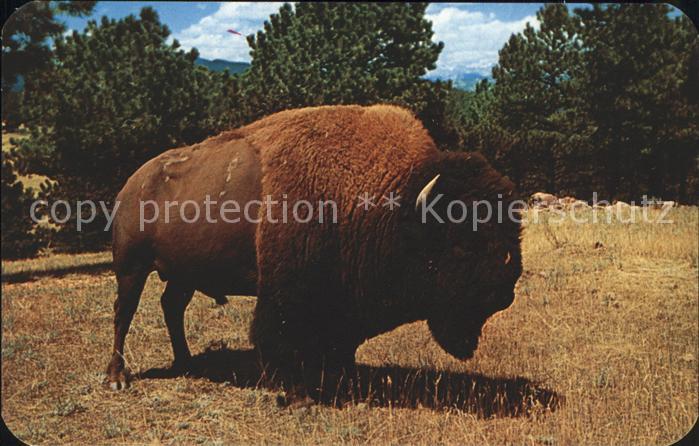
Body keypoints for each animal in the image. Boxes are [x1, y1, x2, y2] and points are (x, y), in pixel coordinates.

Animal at [105, 105, 523, 392]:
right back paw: (117, 377)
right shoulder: (285, 294)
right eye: (462, 243)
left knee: (171, 307)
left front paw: (343, 376)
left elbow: (340, 344)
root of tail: (132, 183)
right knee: (124, 312)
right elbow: (278, 336)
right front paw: (290, 384)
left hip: (184, 273)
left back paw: (187, 364)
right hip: (131, 265)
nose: (504, 290)